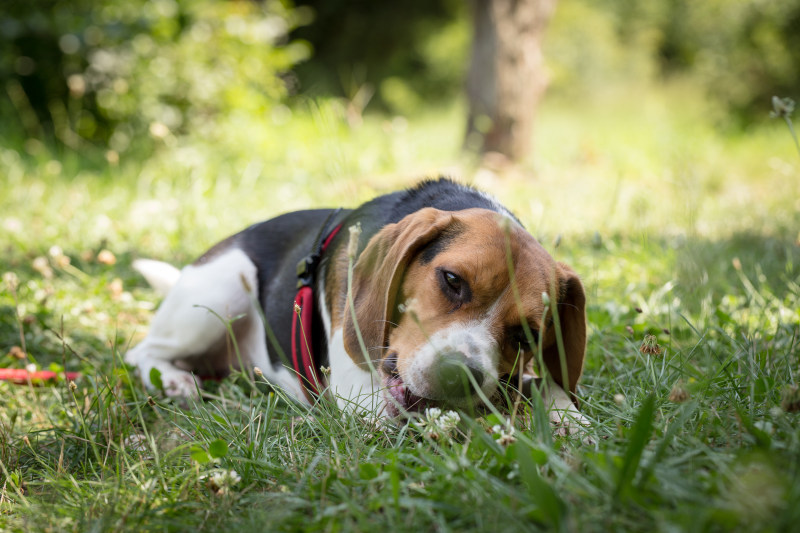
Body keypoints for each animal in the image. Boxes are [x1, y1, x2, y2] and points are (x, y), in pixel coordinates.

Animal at [125, 181, 588, 430]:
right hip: (221, 292)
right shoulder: (354, 390)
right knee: (141, 352)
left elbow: (541, 384)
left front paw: (571, 420)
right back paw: (174, 381)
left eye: (526, 335)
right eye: (452, 280)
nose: (459, 377)